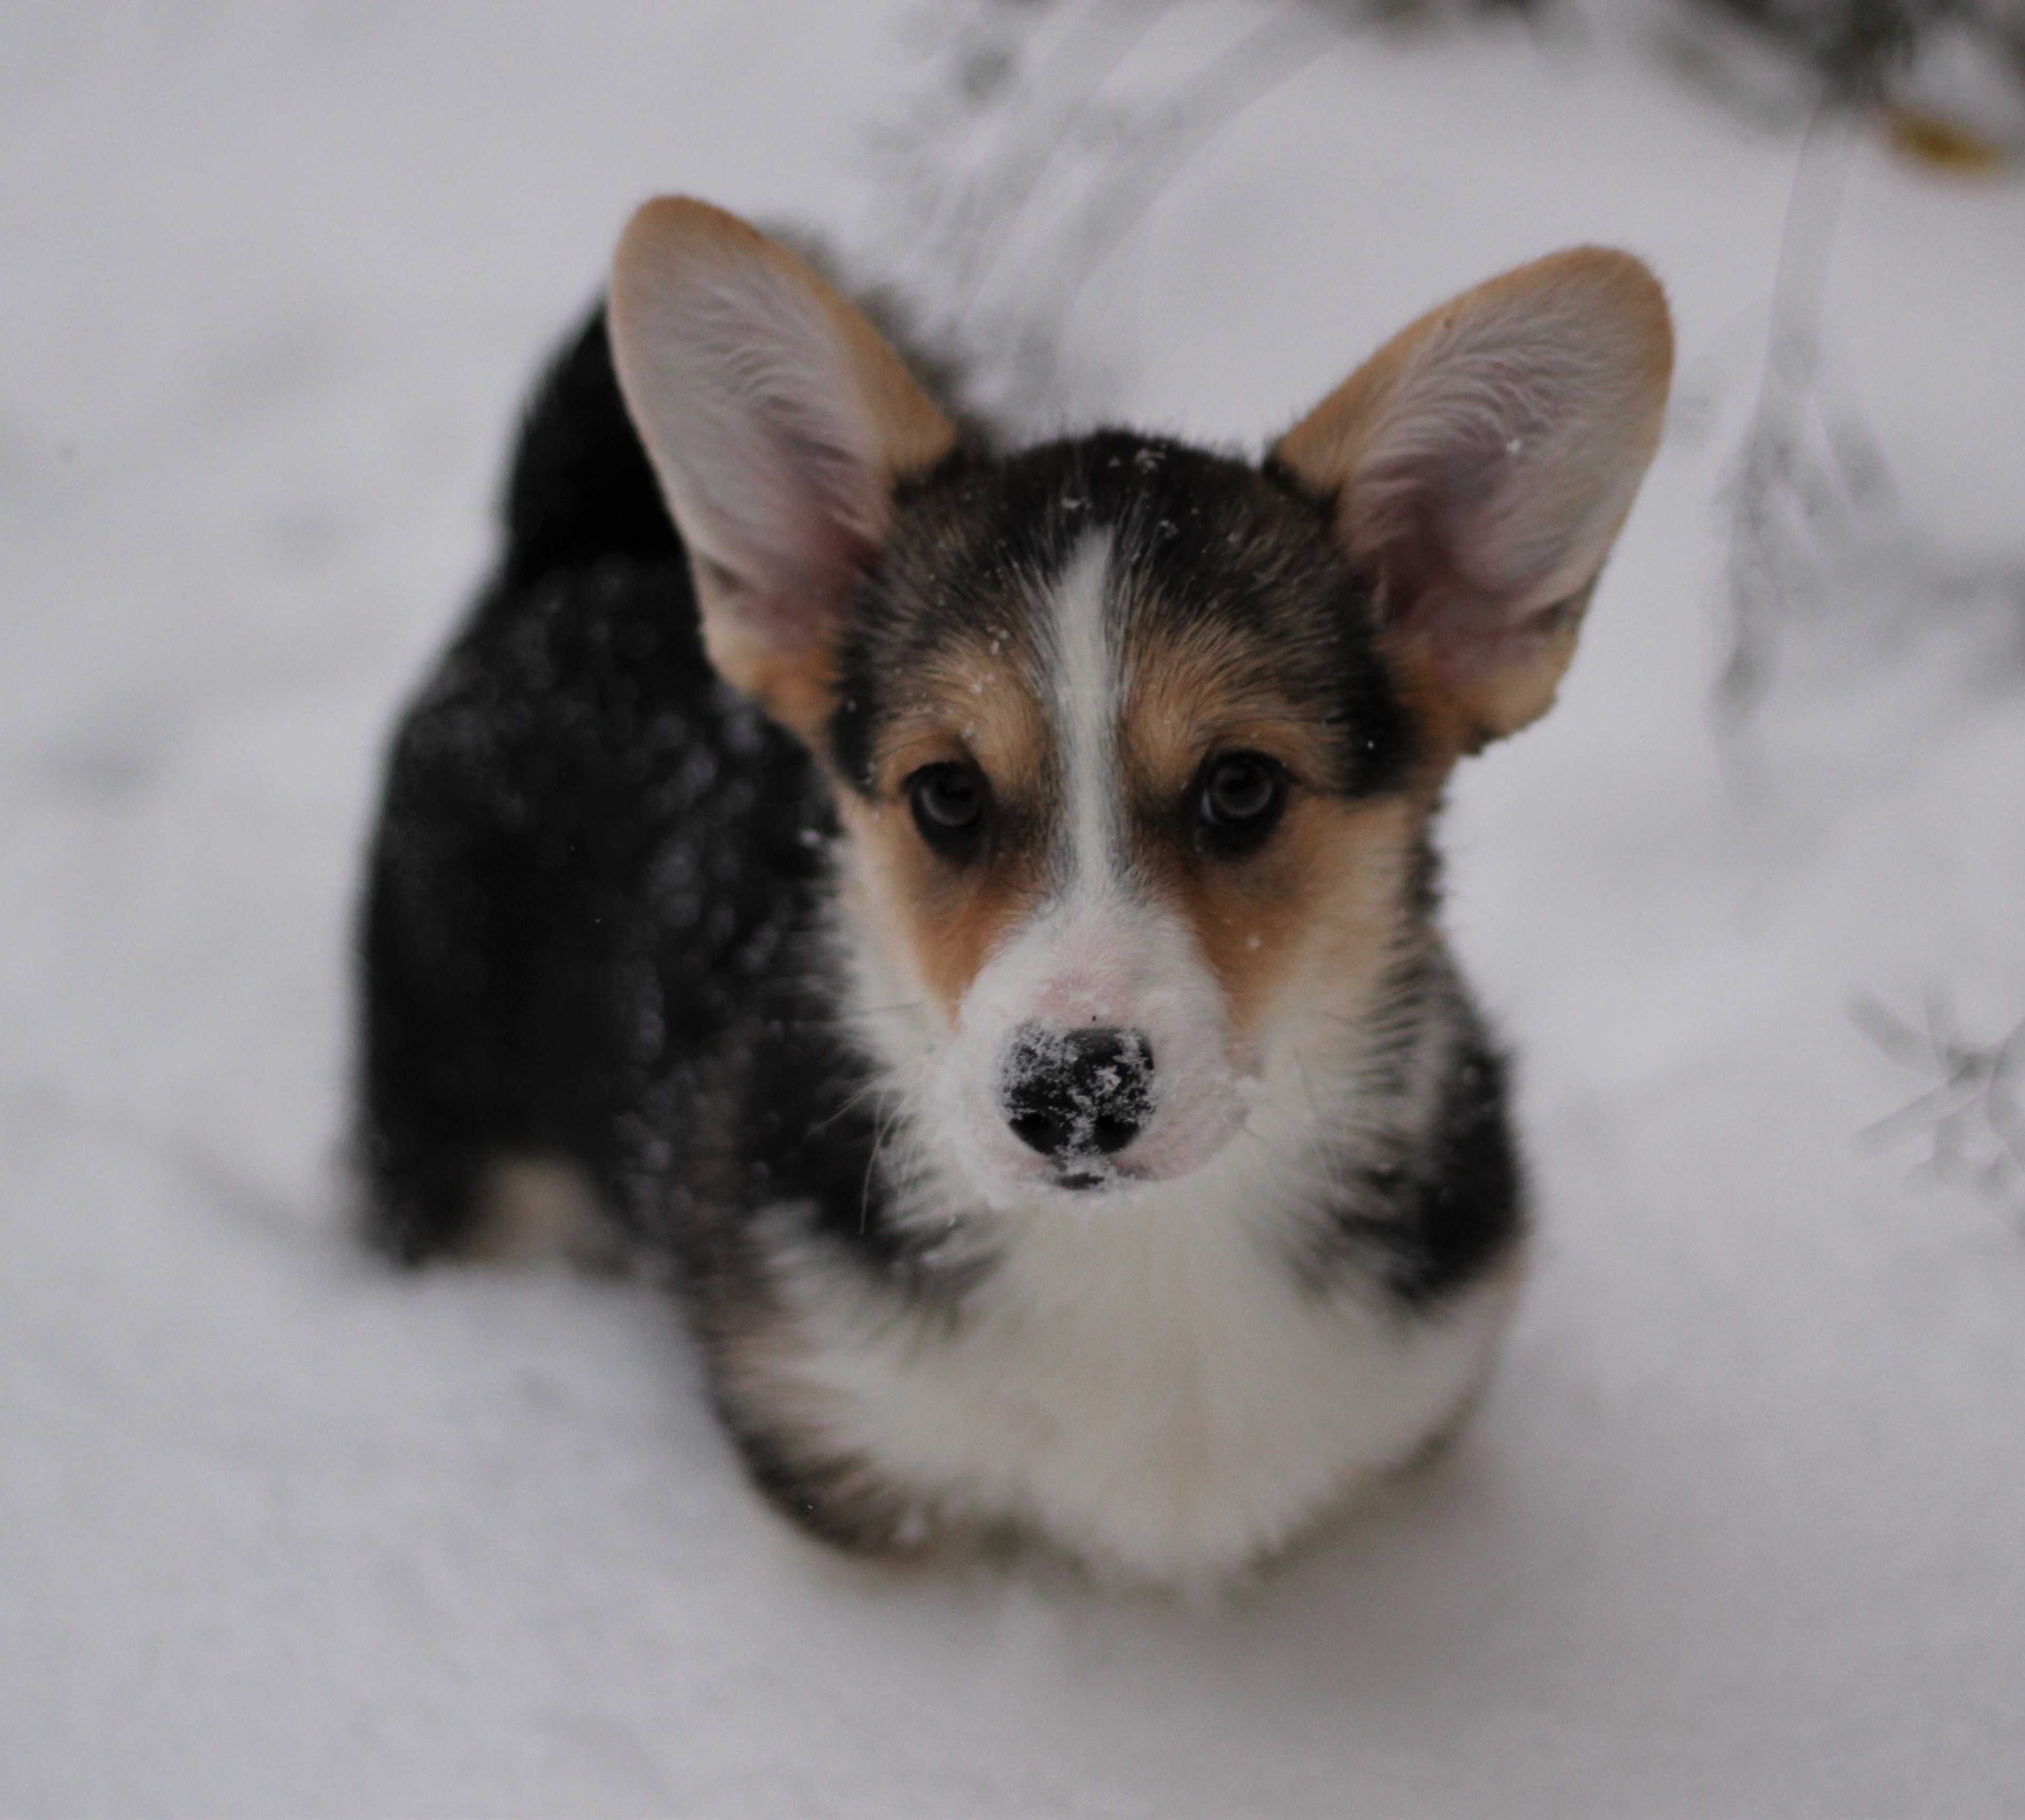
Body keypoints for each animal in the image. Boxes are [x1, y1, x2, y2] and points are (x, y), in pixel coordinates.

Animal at [356, 199, 1668, 1587]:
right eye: (945, 793)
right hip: (447, 1143)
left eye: (1242, 787)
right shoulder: (844, 1458)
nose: (1072, 1094)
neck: (1150, 1257)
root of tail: (561, 565)